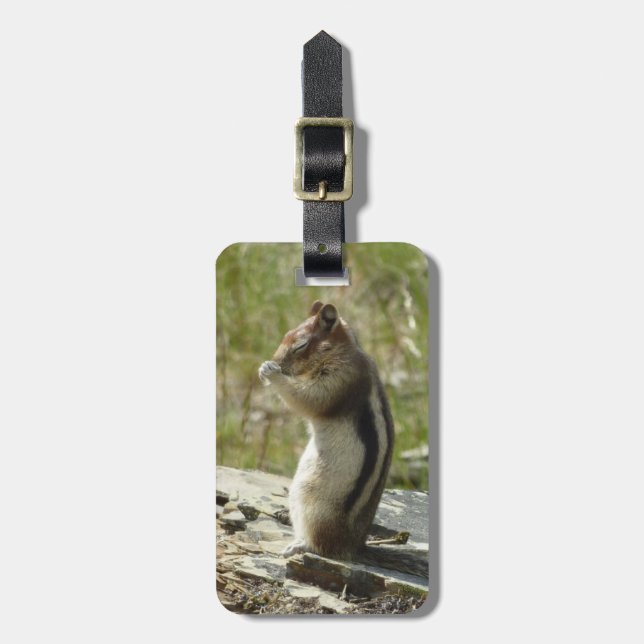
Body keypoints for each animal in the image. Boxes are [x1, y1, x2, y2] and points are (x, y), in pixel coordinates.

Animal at [259, 301, 426, 579]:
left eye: (300, 345)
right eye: (286, 335)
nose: (277, 361)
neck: (342, 351)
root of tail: (354, 546)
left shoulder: (340, 379)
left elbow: (309, 398)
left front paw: (272, 372)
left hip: (310, 501)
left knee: (321, 546)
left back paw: (299, 545)